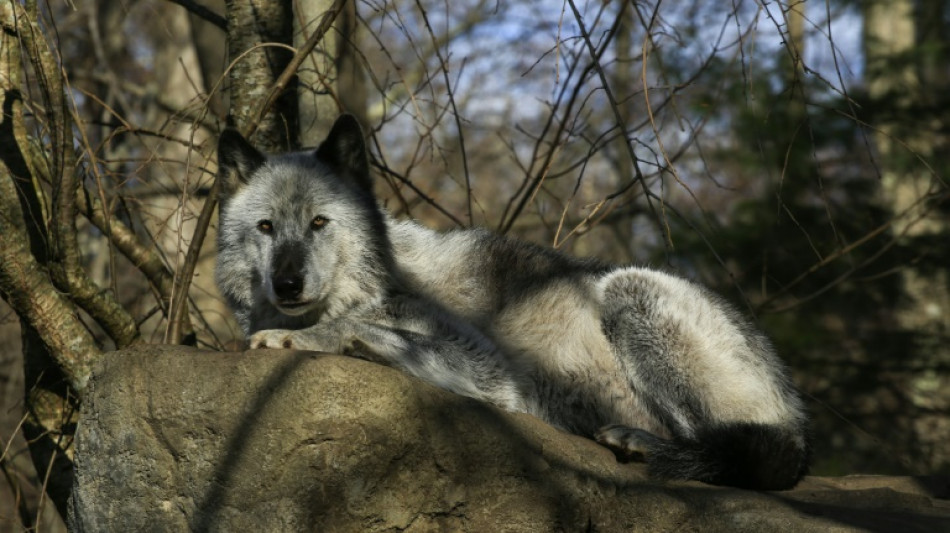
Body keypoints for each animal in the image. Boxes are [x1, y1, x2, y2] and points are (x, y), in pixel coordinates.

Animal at [216, 114, 812, 488]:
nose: (287, 285)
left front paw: (297, 336)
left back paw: (643, 444)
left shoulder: (496, 375)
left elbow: (358, 328)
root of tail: (797, 409)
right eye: (266, 227)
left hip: (630, 290)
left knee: (733, 450)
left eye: (319, 223)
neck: (381, 280)